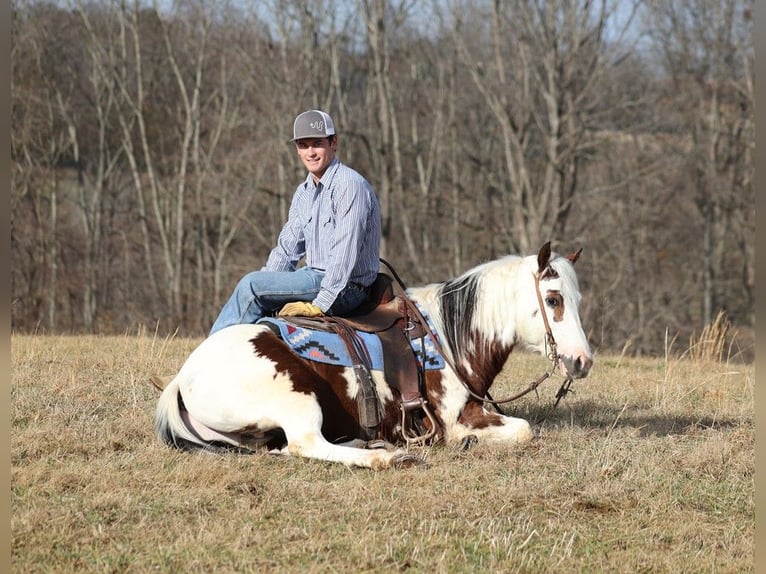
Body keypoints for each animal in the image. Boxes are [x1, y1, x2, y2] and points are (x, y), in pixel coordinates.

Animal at [154, 243, 592, 472]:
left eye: (577, 298)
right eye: (553, 299)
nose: (582, 361)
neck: (447, 337)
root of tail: (182, 378)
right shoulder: (455, 417)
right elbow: (523, 430)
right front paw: (468, 443)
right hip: (297, 397)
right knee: (305, 444)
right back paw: (389, 456)